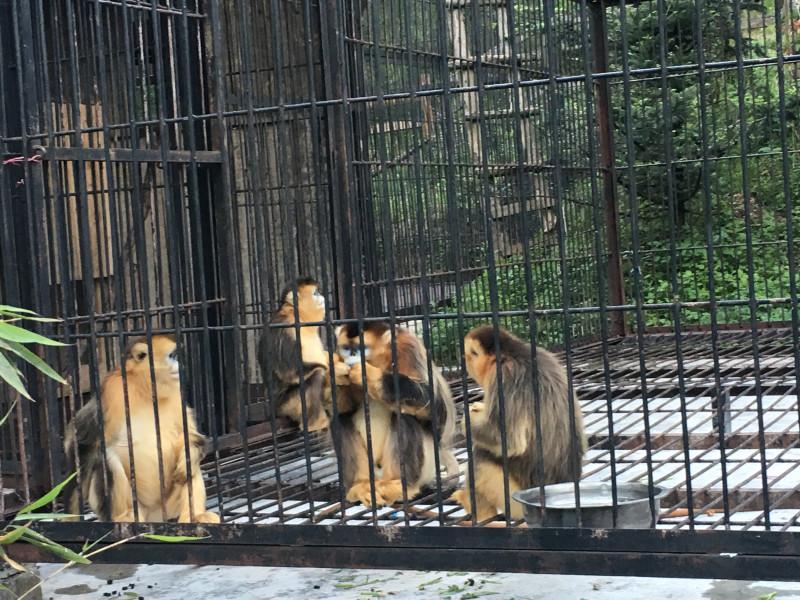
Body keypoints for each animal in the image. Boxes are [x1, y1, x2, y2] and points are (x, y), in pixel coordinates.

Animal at [63, 336, 219, 524]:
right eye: (172, 356)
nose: (178, 365)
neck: (145, 390)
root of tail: (156, 516)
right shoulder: (112, 391)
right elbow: (82, 443)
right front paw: (70, 517)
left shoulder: (176, 394)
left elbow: (189, 435)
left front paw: (189, 456)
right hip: (137, 506)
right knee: (106, 457)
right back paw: (124, 516)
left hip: (170, 506)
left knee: (190, 468)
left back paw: (193, 516)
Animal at [258, 276, 330, 432]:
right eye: (315, 293)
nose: (322, 297)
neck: (299, 318)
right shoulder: (285, 328)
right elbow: (290, 372)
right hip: (286, 406)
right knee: (316, 374)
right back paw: (315, 424)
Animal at [330, 322, 456, 508]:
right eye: (346, 348)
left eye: (361, 348)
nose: (352, 356)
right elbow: (344, 408)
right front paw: (337, 373)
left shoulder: (408, 348)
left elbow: (436, 409)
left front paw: (369, 374)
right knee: (341, 419)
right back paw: (361, 484)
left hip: (427, 466)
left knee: (404, 416)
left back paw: (400, 485)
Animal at [450, 324, 588, 520]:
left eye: (469, 355)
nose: (463, 361)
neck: (512, 354)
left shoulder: (503, 376)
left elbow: (507, 441)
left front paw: (467, 419)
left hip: (514, 500)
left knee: (480, 456)